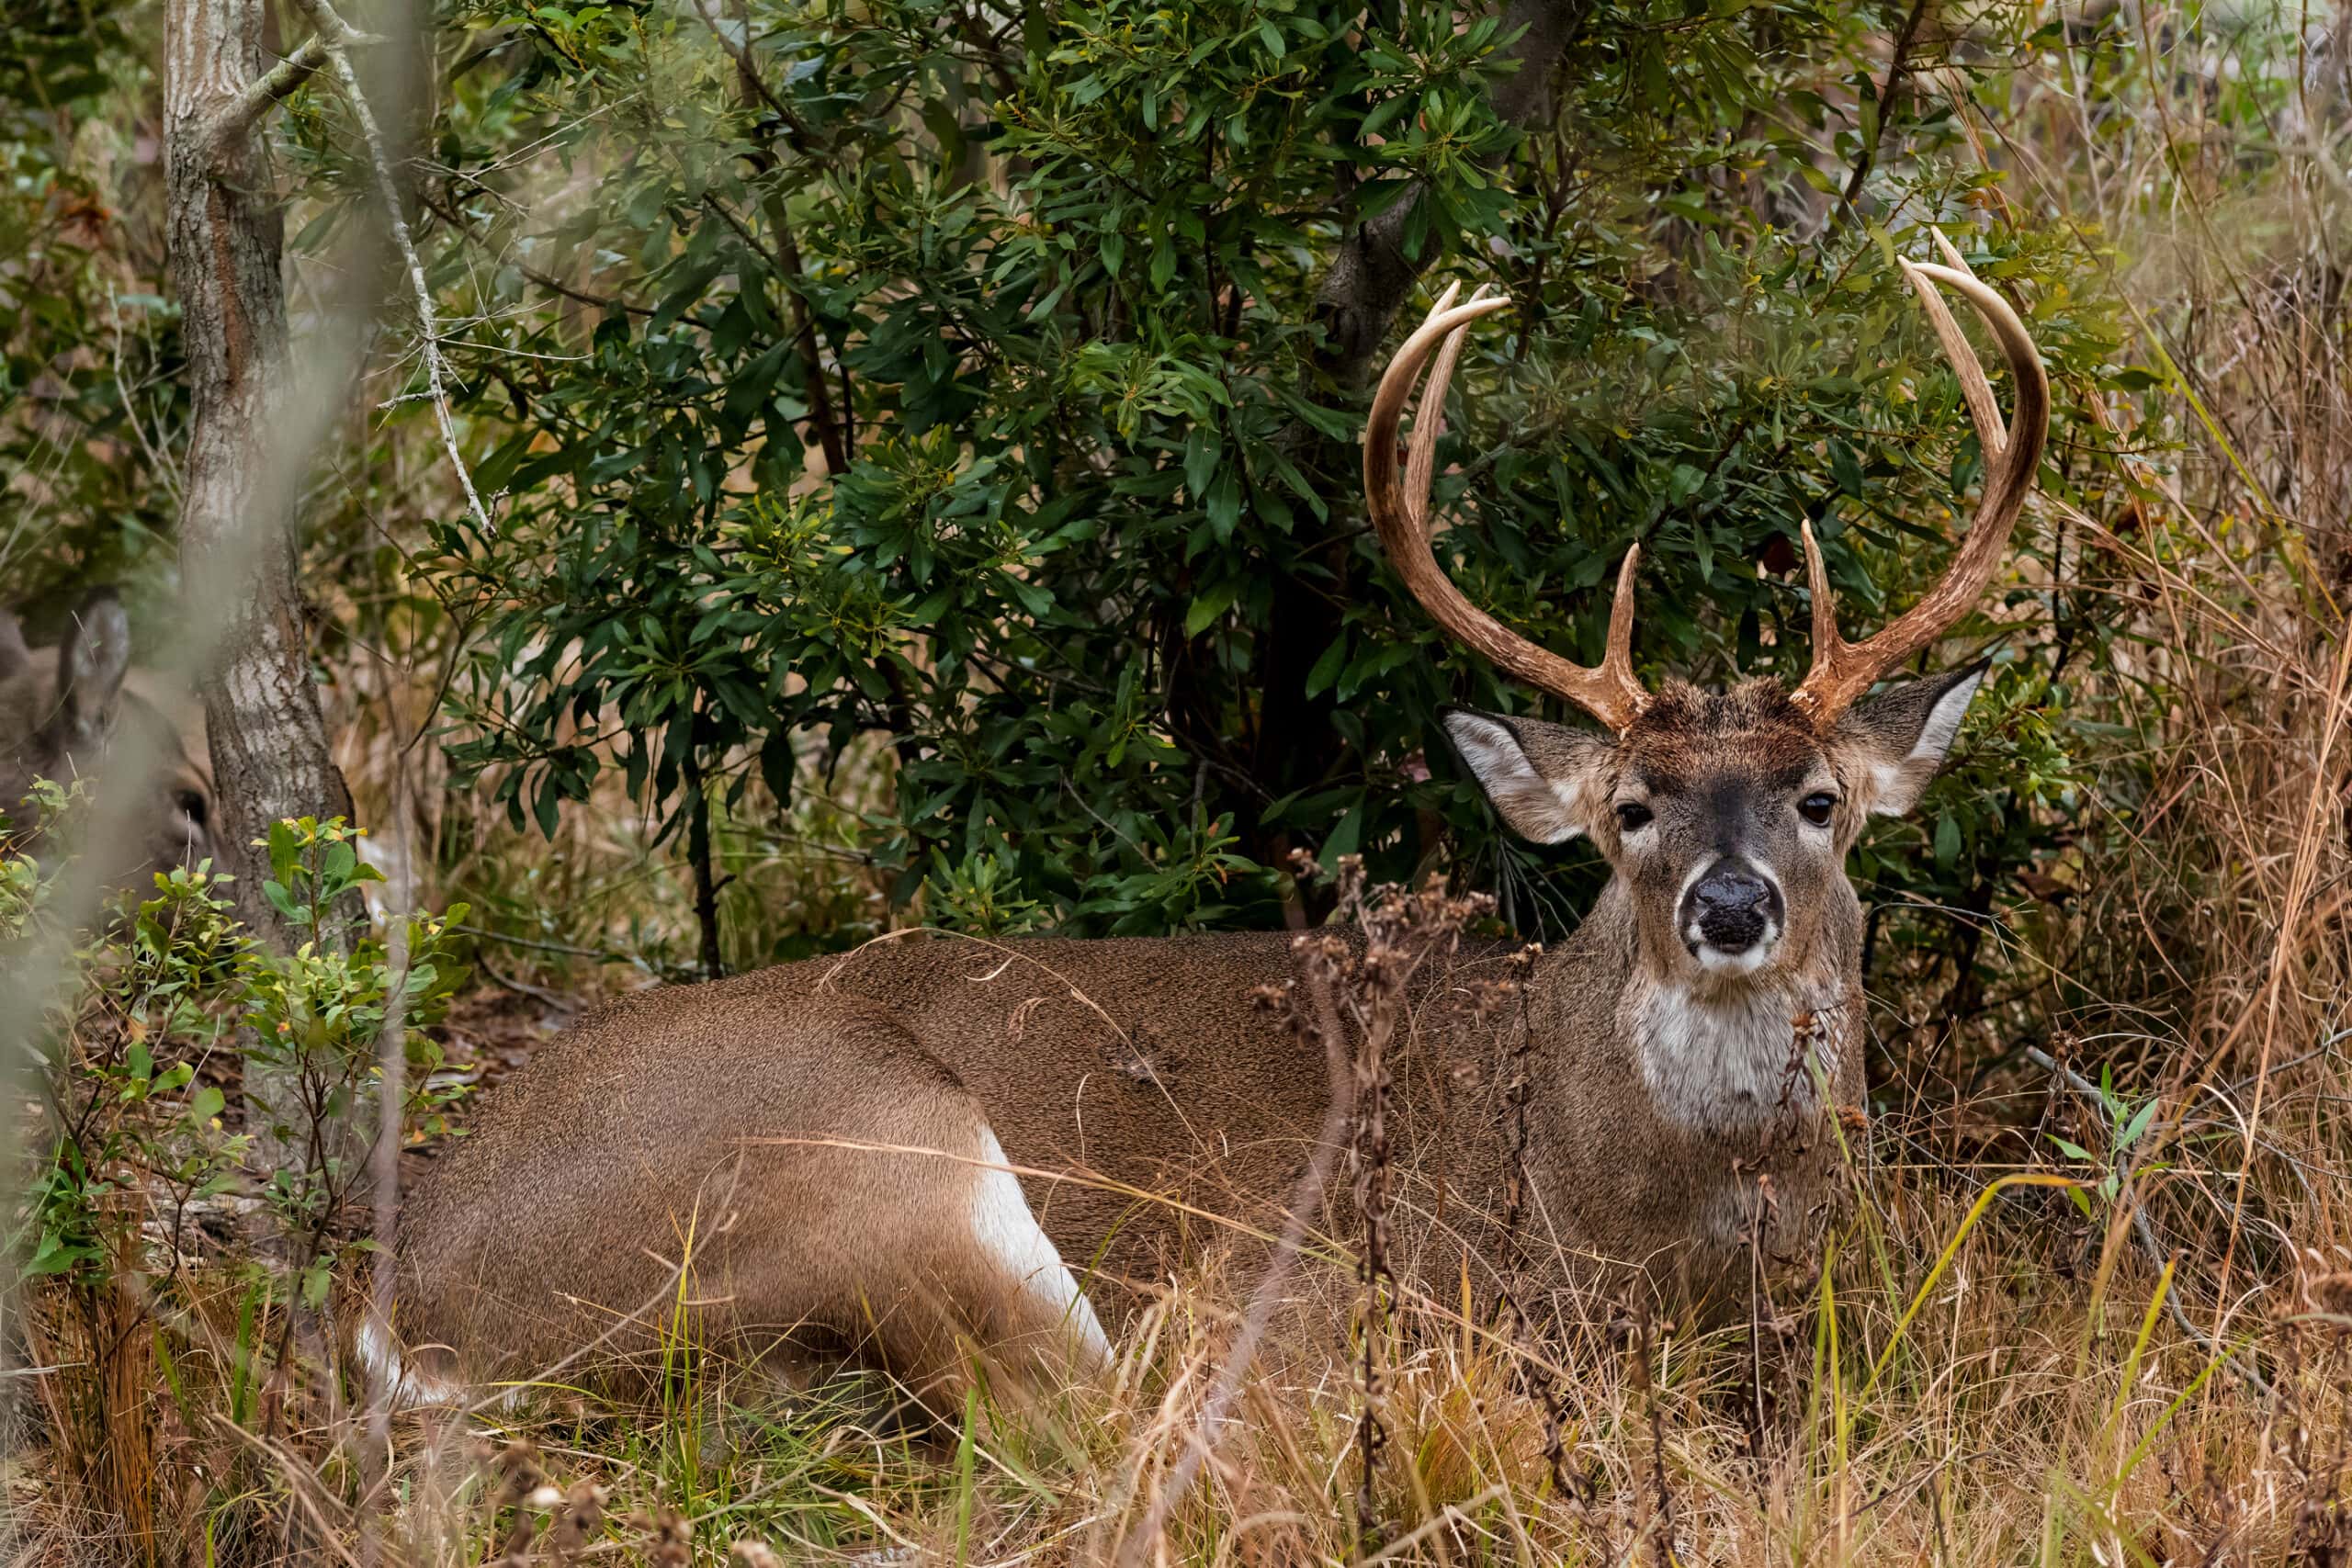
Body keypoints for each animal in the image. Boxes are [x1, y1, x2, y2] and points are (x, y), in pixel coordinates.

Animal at [380, 242, 2041, 1410]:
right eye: (1630, 809)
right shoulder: (1333, 1286)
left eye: (1822, 800)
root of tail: (408, 1303)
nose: (1731, 907)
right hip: (867, 1162)